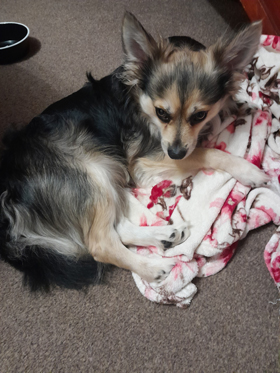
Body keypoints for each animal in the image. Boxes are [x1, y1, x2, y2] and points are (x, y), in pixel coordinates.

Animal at [0, 12, 268, 290]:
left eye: (199, 115)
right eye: (162, 113)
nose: (175, 153)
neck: (141, 101)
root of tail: (9, 188)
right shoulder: (145, 158)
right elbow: (208, 152)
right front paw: (249, 170)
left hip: (107, 173)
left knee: (117, 228)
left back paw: (165, 235)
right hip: (90, 175)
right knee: (101, 243)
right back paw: (153, 268)